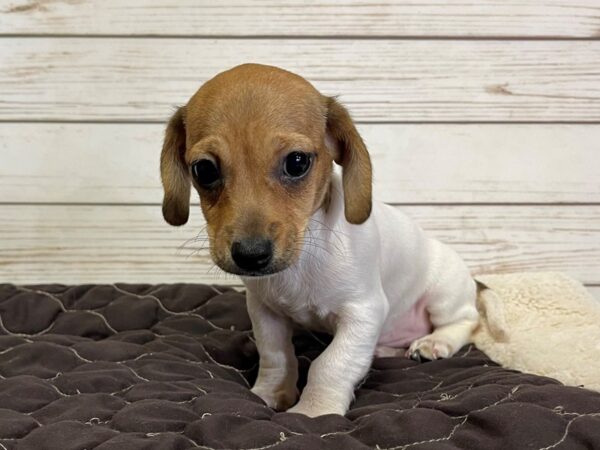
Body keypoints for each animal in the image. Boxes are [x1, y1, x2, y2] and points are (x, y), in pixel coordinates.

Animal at [159, 61, 478, 416]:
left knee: (467, 322)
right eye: (204, 170)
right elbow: (275, 356)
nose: (251, 255)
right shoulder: (264, 312)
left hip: (444, 295)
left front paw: (313, 412)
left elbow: (331, 364)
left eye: (297, 162)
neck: (301, 261)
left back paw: (434, 342)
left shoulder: (363, 311)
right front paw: (270, 393)